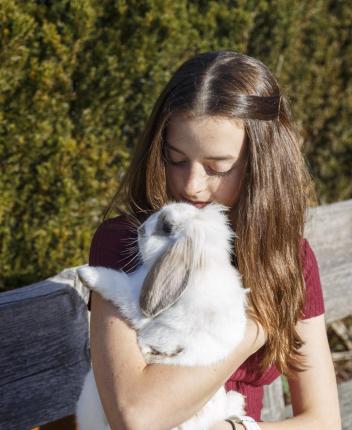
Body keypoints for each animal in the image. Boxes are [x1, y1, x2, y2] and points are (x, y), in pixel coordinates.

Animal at [77, 202, 248, 430]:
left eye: (167, 227)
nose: (140, 230)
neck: (201, 267)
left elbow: (114, 282)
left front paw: (85, 274)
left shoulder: (133, 298)